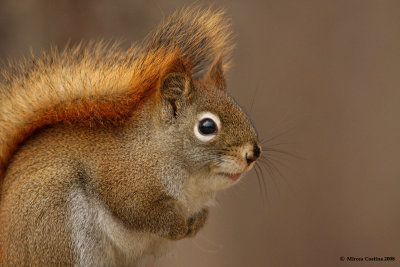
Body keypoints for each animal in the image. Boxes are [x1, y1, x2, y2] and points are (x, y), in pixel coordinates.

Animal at [0, 6, 260, 267]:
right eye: (206, 127)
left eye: (239, 108)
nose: (253, 153)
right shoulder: (124, 181)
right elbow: (140, 212)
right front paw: (178, 225)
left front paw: (197, 221)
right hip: (55, 228)